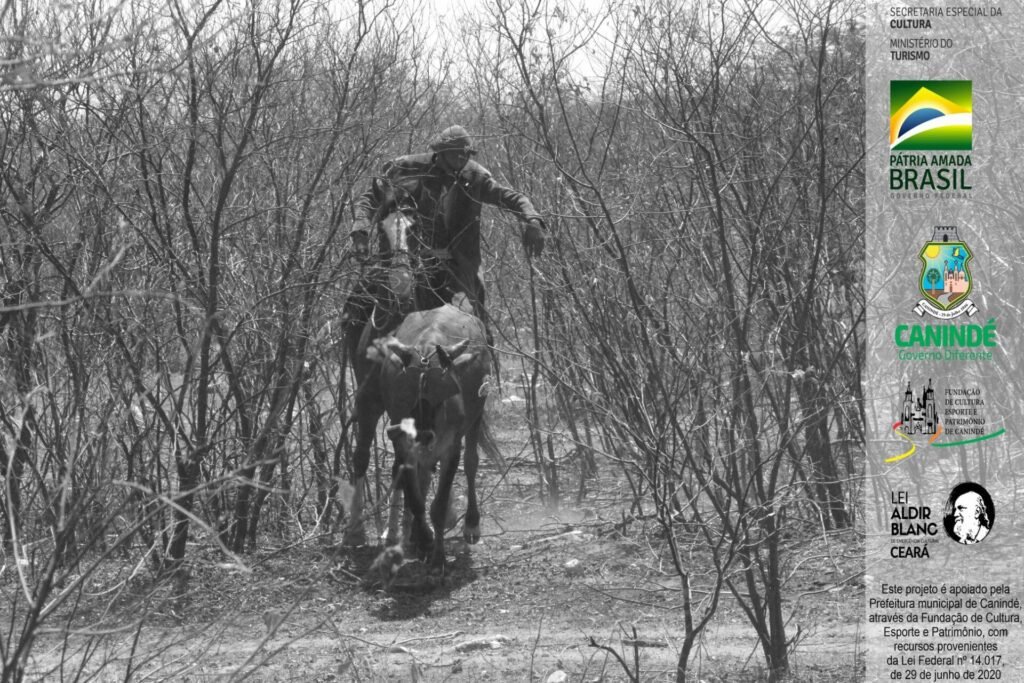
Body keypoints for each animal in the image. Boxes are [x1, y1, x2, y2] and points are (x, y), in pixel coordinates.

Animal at [342, 301, 489, 569]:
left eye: (440, 398)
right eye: (409, 396)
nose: (423, 435)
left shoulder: (450, 446)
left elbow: (438, 504)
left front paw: (438, 555)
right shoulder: (401, 441)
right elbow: (416, 496)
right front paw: (424, 540)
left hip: (476, 416)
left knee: (471, 462)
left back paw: (471, 524)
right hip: (372, 406)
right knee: (364, 458)